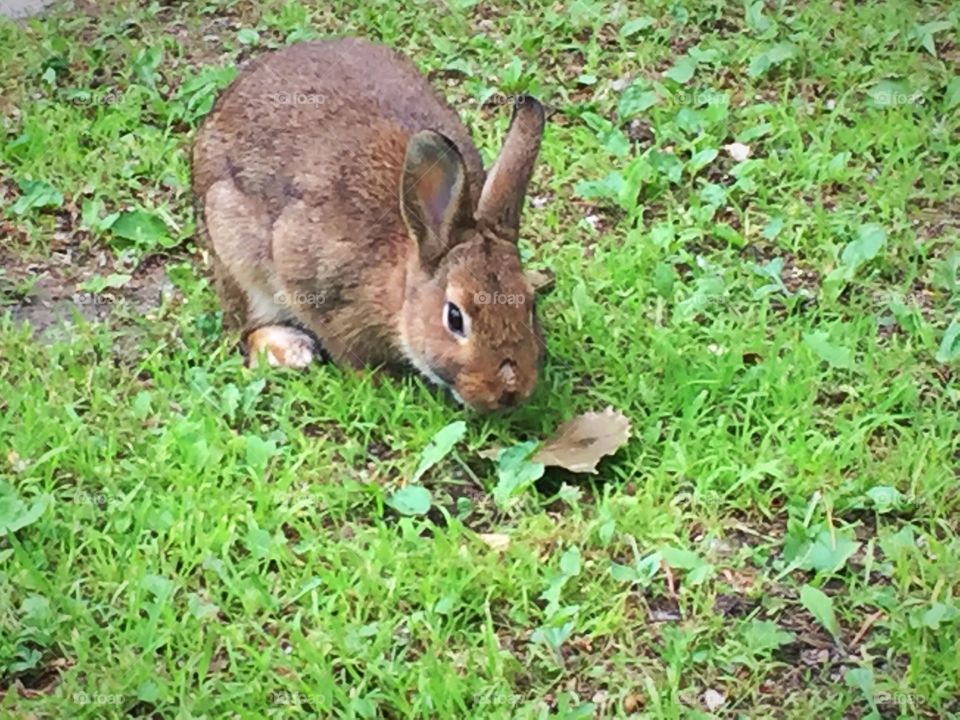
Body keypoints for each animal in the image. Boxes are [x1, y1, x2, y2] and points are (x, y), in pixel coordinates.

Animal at [191, 38, 544, 410]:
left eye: (529, 304)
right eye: (454, 318)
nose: (509, 391)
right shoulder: (310, 280)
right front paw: (377, 379)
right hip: (232, 248)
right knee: (246, 326)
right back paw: (292, 350)